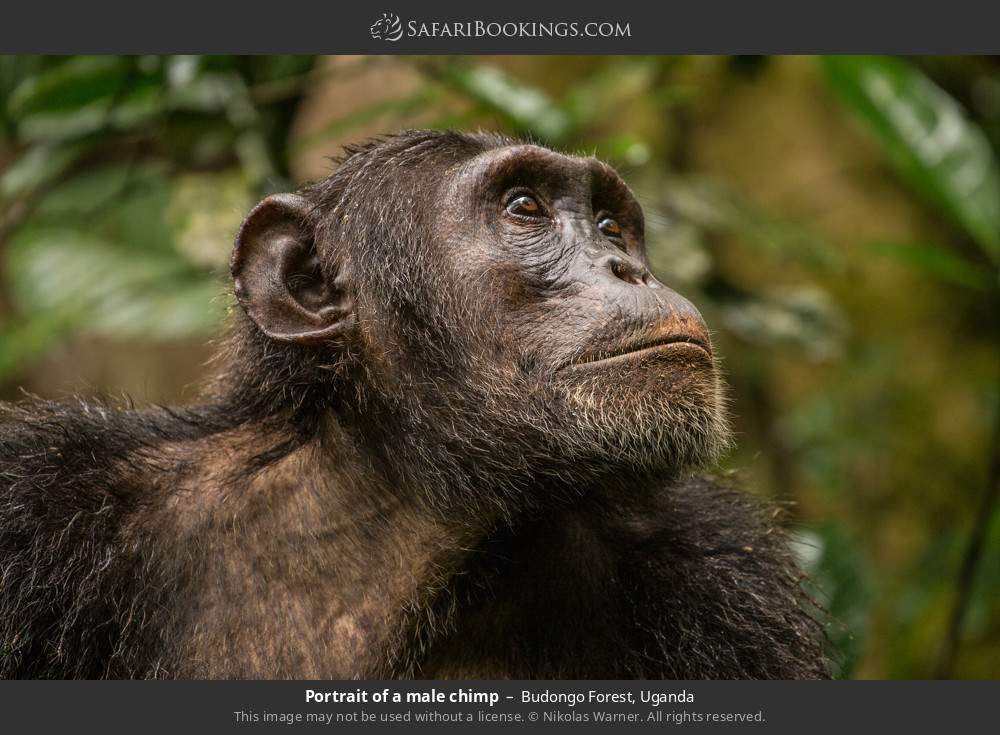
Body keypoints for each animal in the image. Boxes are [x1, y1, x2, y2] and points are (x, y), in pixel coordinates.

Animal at [0, 131, 828, 680]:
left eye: (609, 225)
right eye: (525, 206)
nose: (628, 267)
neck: (399, 513)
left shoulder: (726, 582)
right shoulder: (37, 507)